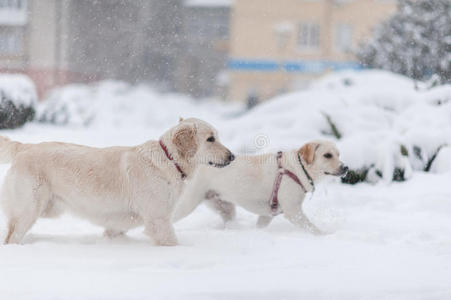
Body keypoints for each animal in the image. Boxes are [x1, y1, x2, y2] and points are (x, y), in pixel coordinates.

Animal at [0, 118, 233, 246]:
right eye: (210, 139)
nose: (232, 157)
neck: (169, 159)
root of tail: (25, 147)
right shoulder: (158, 221)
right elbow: (172, 243)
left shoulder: (118, 224)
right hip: (29, 209)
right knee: (11, 237)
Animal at [172, 139, 346, 233]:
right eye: (327, 155)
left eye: (339, 154)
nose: (345, 168)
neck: (297, 168)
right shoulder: (293, 211)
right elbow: (313, 229)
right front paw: (325, 235)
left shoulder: (267, 215)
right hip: (187, 204)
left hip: (225, 207)